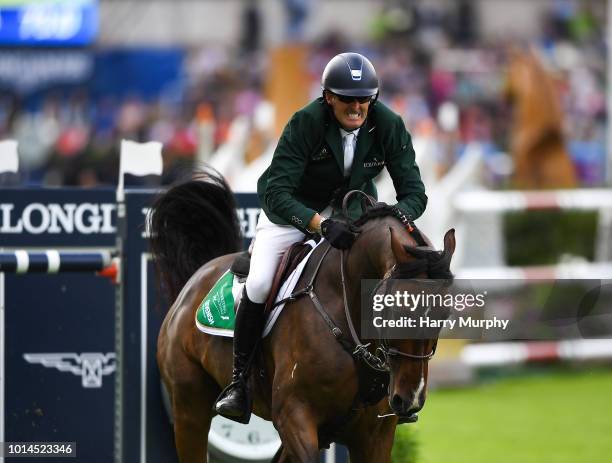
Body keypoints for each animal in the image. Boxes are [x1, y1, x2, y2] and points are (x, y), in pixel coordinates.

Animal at [151, 171, 456, 463]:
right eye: (392, 308)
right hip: (189, 410)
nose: (410, 399)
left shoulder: (375, 435)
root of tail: (195, 280)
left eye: (444, 314)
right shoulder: (294, 417)